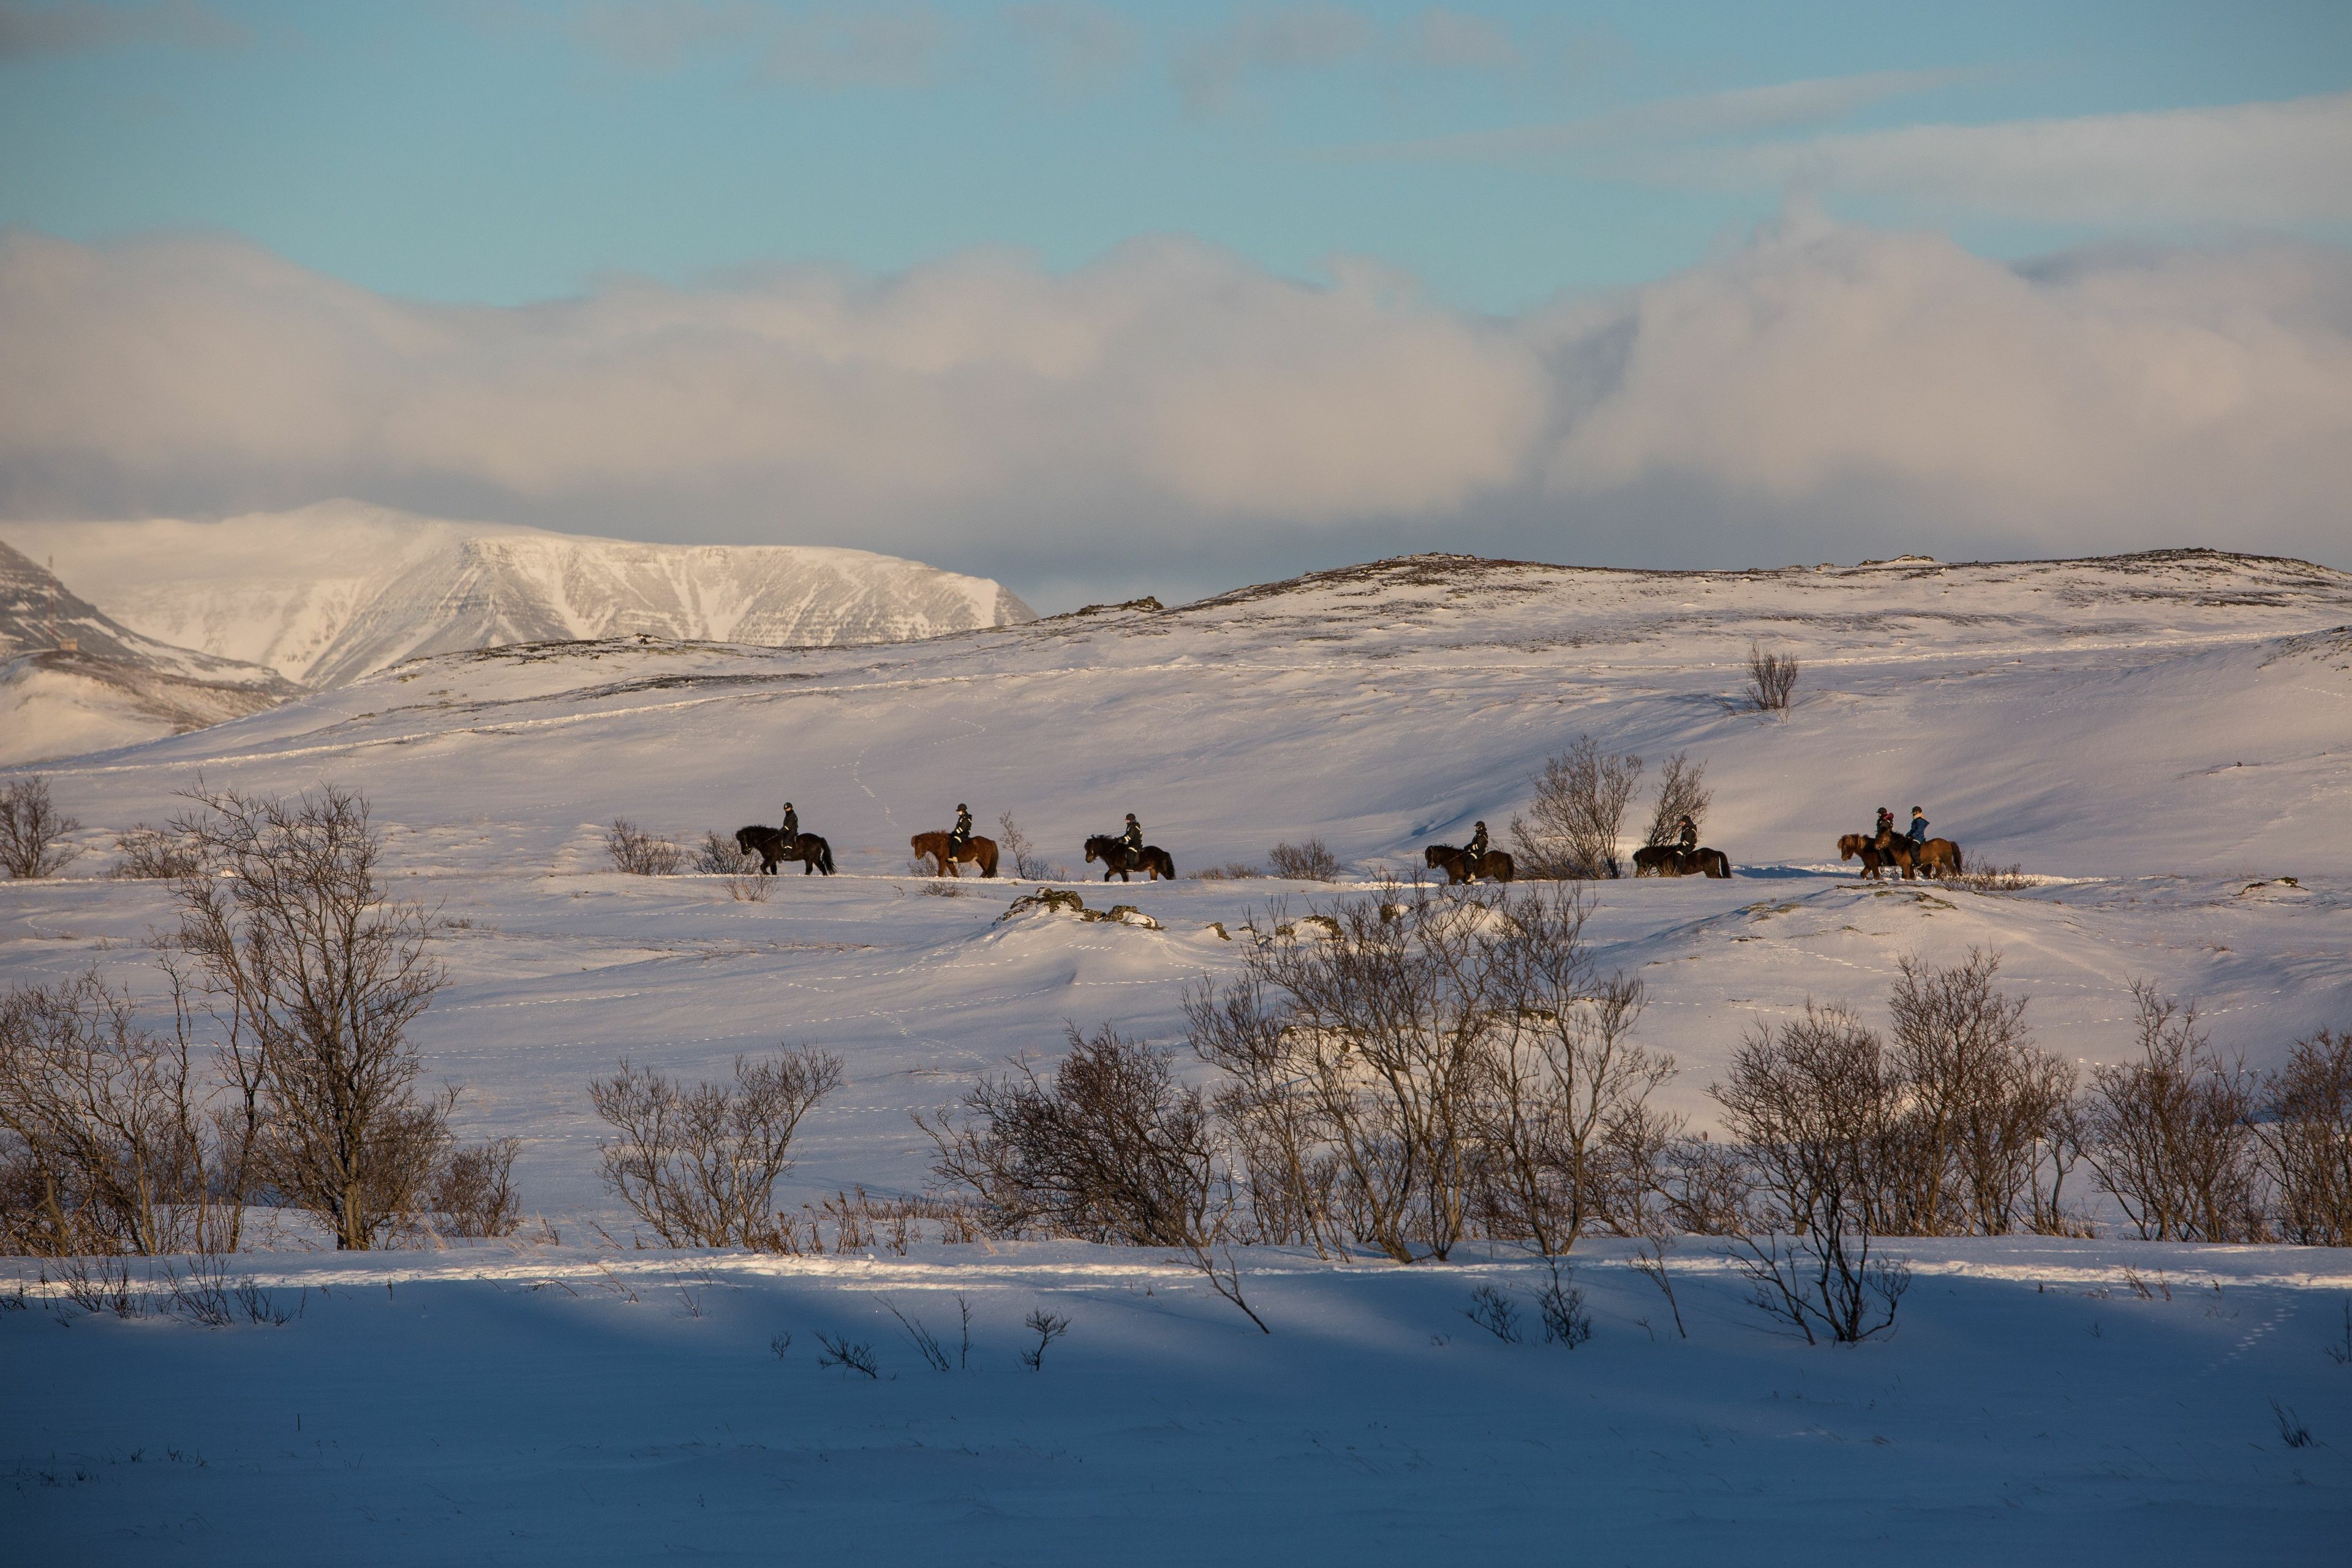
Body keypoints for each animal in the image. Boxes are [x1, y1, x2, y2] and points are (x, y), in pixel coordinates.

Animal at [743, 827, 846, 879]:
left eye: (744, 839)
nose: (744, 852)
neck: (769, 840)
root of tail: (820, 839)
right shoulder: (772, 860)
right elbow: (774, 870)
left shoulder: (772, 858)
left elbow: (763, 867)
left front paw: (767, 875)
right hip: (815, 858)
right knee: (822, 867)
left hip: (810, 858)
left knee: (810, 869)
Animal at [912, 827, 997, 879]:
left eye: (918, 845)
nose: (917, 856)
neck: (941, 844)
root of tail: (990, 841)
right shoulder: (948, 862)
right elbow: (954, 873)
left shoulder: (942, 861)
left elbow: (940, 872)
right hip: (979, 860)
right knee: (985, 871)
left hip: (985, 860)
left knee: (988, 871)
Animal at [1077, 832, 1171, 884]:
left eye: (1091, 848)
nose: (1087, 860)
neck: (1113, 852)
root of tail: (1163, 852)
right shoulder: (1114, 869)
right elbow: (1106, 876)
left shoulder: (1122, 871)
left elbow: (1125, 880)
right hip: (1153, 871)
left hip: (1162, 869)